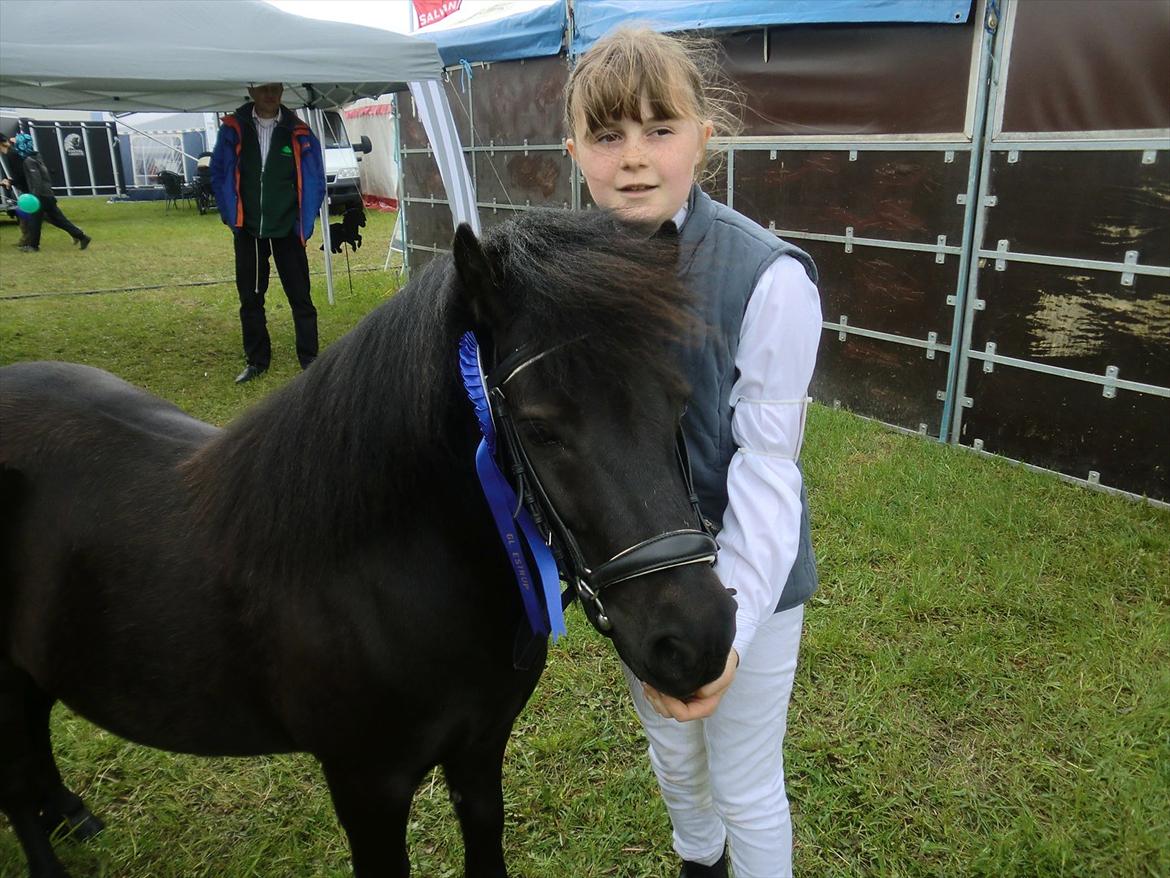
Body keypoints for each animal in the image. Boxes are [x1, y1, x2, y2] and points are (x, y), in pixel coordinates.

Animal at [0, 213, 730, 878]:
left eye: (678, 401)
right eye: (539, 429)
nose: (698, 638)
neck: (376, 573)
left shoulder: (479, 752)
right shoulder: (367, 787)